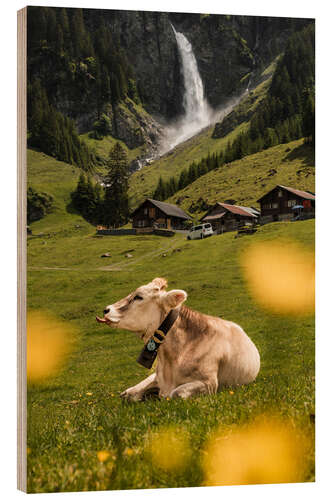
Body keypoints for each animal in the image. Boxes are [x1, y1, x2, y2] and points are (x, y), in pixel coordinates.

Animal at [95, 276, 260, 400]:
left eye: (138, 297)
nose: (106, 309)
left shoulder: (210, 384)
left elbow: (176, 393)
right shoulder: (158, 378)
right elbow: (132, 395)